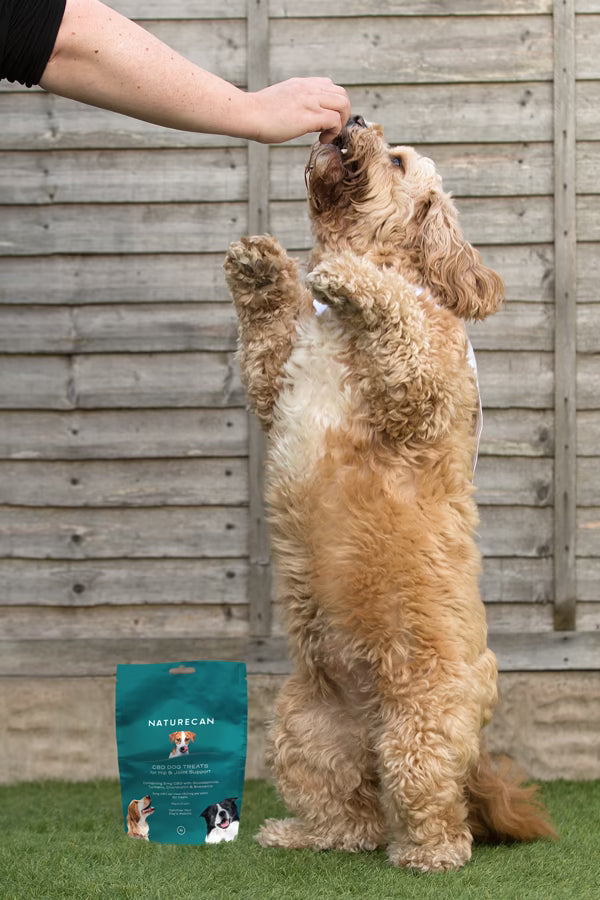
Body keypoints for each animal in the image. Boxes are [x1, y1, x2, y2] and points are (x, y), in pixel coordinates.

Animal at [224, 116, 552, 868]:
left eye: (397, 159)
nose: (350, 119)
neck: (335, 324)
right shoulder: (274, 383)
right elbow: (265, 337)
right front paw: (259, 266)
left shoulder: (423, 389)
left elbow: (398, 308)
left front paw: (352, 276)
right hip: (303, 732)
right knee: (351, 816)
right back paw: (301, 833)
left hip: (421, 732)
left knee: (432, 812)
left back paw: (427, 855)